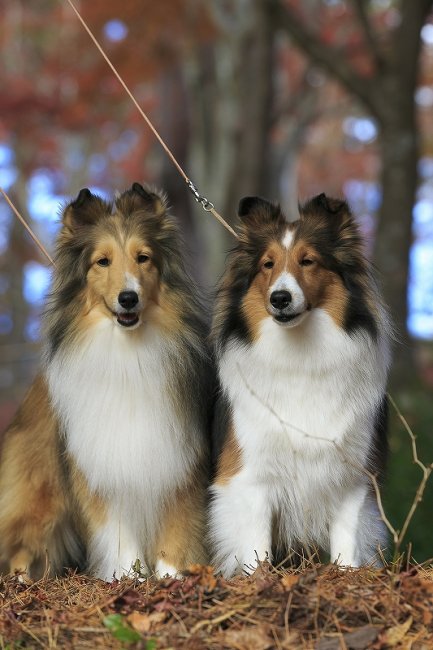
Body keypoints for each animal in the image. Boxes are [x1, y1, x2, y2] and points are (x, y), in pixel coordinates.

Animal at [0, 182, 212, 576]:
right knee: (22, 543)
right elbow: (118, 536)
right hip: (39, 492)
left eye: (143, 258)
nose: (128, 298)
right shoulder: (99, 470)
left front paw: (171, 578)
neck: (128, 353)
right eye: (103, 261)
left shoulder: (181, 461)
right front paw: (129, 578)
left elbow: (176, 531)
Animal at [208, 192, 390, 572]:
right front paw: (258, 578)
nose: (280, 298)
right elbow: (256, 548)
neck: (299, 356)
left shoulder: (353, 478)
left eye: (308, 261)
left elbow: (348, 543)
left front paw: (346, 576)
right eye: (267, 264)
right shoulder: (249, 477)